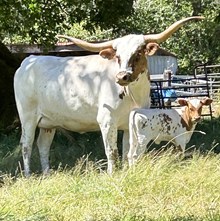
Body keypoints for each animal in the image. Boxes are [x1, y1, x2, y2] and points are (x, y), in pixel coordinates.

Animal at [13, 16, 203, 176]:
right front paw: (112, 175)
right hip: (28, 118)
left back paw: (47, 174)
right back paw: (28, 175)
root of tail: (28, 61)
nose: (121, 76)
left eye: (138, 53)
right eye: (117, 56)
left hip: (48, 122)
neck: (133, 95)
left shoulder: (128, 125)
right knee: (26, 145)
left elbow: (126, 151)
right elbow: (112, 152)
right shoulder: (106, 121)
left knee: (43, 145)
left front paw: (127, 172)